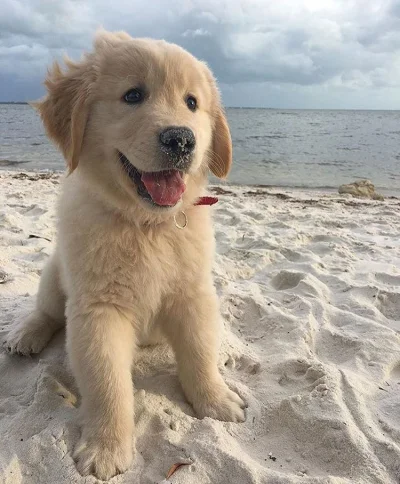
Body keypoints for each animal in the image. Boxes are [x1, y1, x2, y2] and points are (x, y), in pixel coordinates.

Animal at [3, 30, 245, 480]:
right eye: (133, 95)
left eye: (192, 103)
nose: (181, 139)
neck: (146, 225)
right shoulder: (98, 310)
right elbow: (108, 382)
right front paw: (107, 448)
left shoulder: (193, 293)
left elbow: (201, 352)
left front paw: (216, 400)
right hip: (54, 272)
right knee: (46, 310)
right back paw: (25, 334)